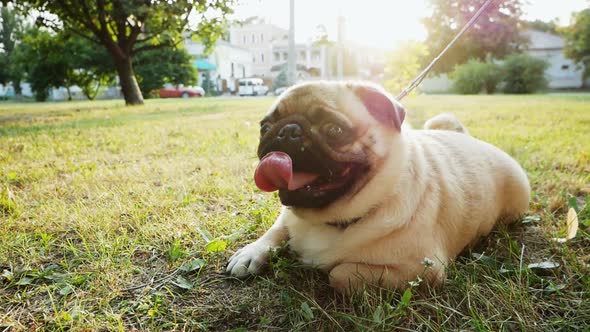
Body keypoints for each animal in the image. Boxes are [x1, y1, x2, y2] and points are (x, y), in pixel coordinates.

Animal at [227, 81, 532, 292]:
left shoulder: (421, 271)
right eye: (264, 127)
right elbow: (276, 231)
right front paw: (249, 253)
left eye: (334, 130)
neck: (330, 221)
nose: (288, 131)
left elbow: (338, 273)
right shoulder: (287, 217)